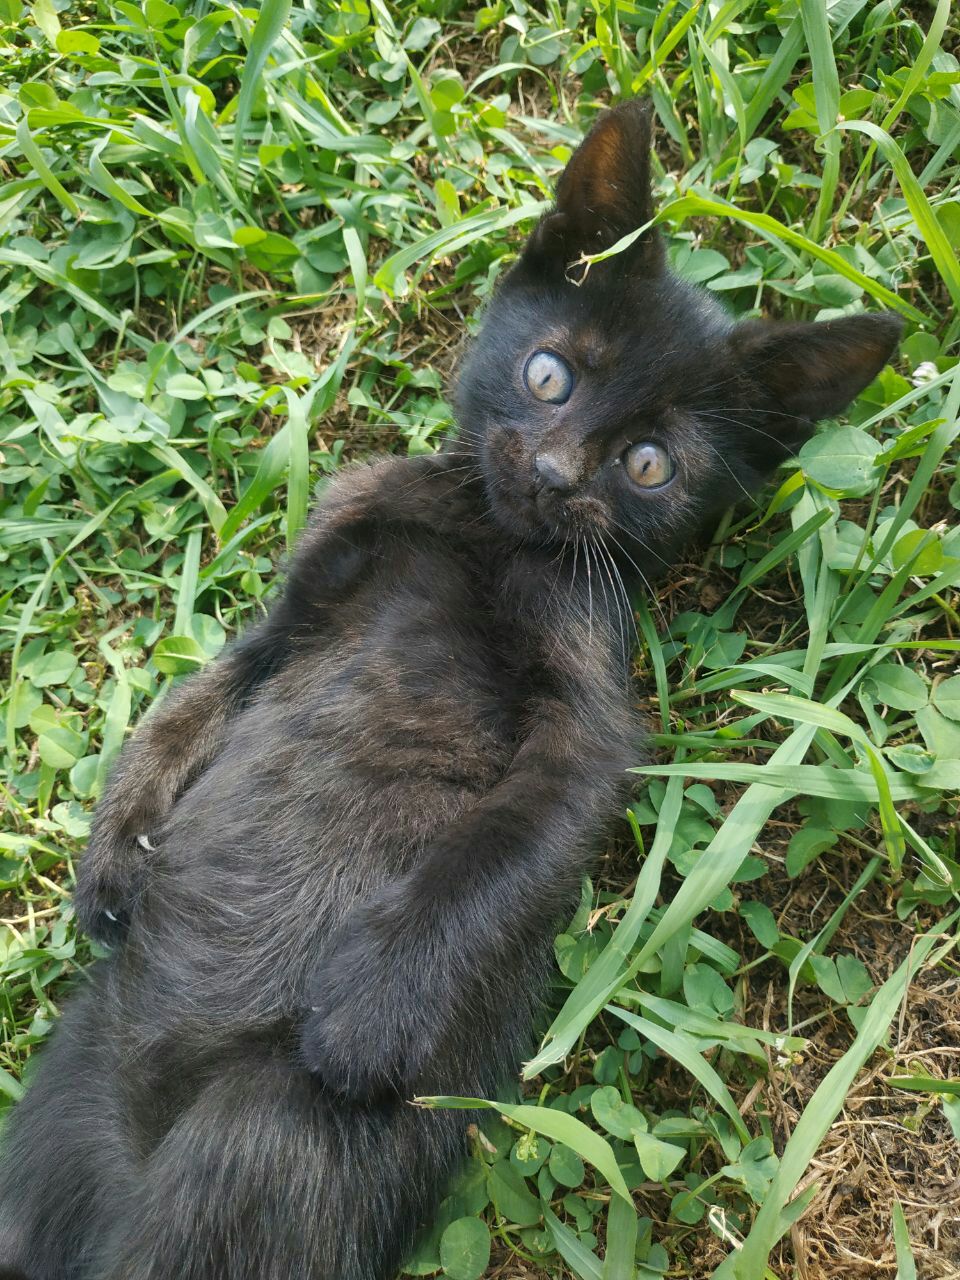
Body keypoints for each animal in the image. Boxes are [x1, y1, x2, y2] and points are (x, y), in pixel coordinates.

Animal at [0, 100, 900, 1280]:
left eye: (650, 465)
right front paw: (118, 848)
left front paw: (368, 1008)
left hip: (257, 1142)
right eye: (550, 375)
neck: (481, 532)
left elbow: (494, 850)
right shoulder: (295, 611)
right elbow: (187, 703)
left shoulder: (585, 730)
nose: (555, 474)